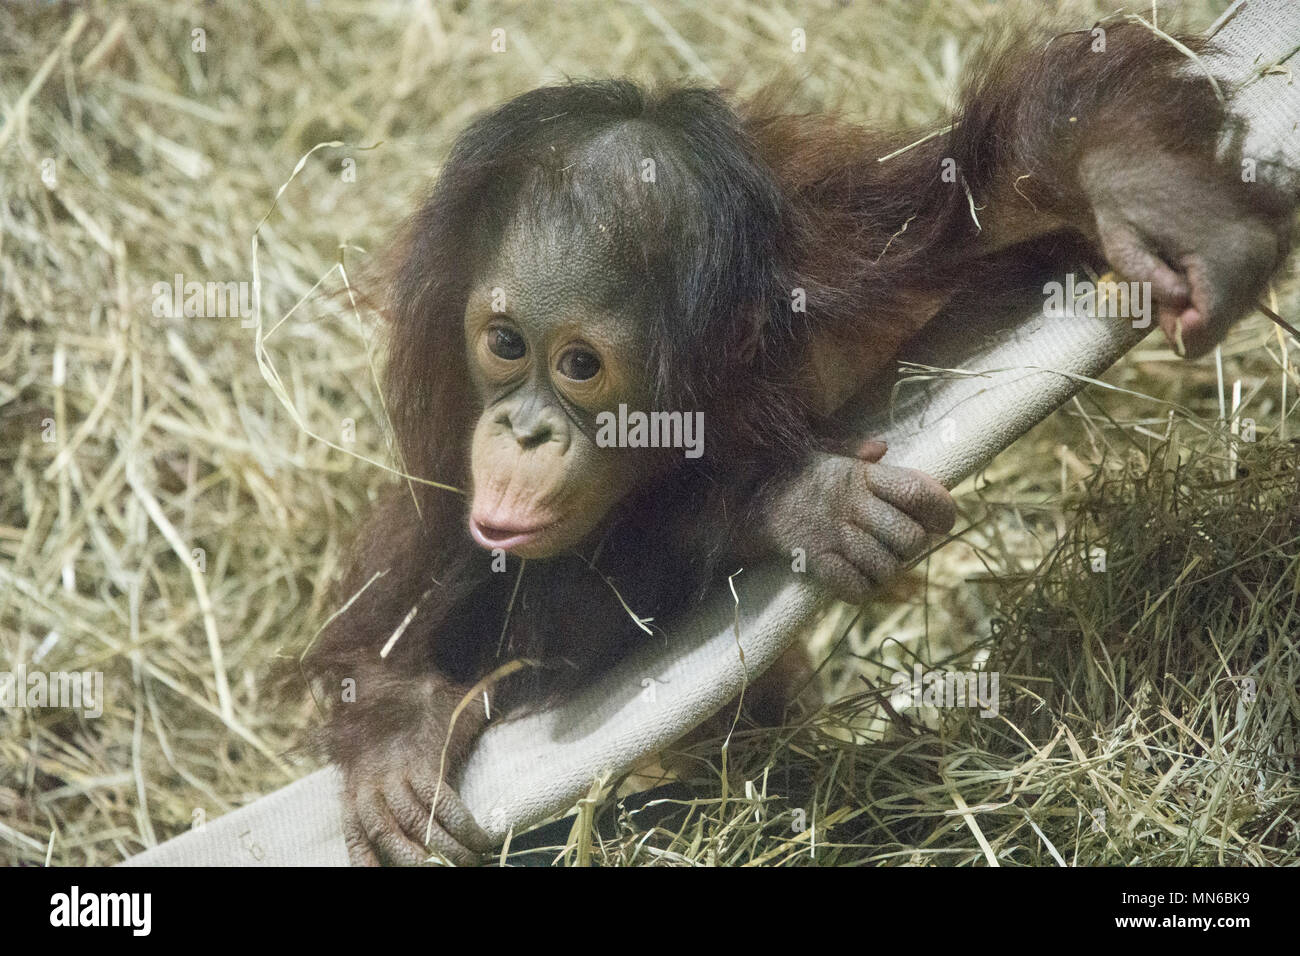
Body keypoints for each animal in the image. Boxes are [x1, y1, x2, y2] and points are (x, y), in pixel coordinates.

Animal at [305, 20, 1296, 865]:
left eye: (579, 365)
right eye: (505, 345)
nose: (523, 429)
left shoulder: (841, 258)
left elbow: (996, 191)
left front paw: (1150, 194)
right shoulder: (449, 468)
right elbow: (487, 615)